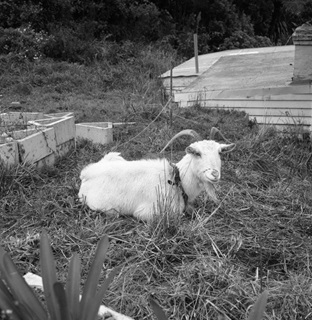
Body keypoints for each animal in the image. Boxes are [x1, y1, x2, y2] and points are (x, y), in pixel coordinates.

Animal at [78, 127, 236, 220]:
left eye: (219, 152)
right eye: (197, 153)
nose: (214, 174)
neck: (177, 179)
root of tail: (86, 174)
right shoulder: (146, 212)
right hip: (107, 208)